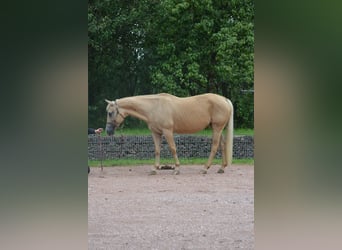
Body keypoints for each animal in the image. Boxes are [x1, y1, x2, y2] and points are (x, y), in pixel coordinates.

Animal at [105, 93, 234, 175]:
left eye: (110, 113)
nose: (108, 131)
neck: (154, 107)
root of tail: (224, 99)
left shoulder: (167, 131)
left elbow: (173, 148)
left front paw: (176, 169)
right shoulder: (156, 133)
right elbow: (157, 150)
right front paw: (155, 169)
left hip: (217, 128)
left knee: (214, 147)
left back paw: (205, 169)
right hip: (217, 129)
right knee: (222, 145)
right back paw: (221, 168)